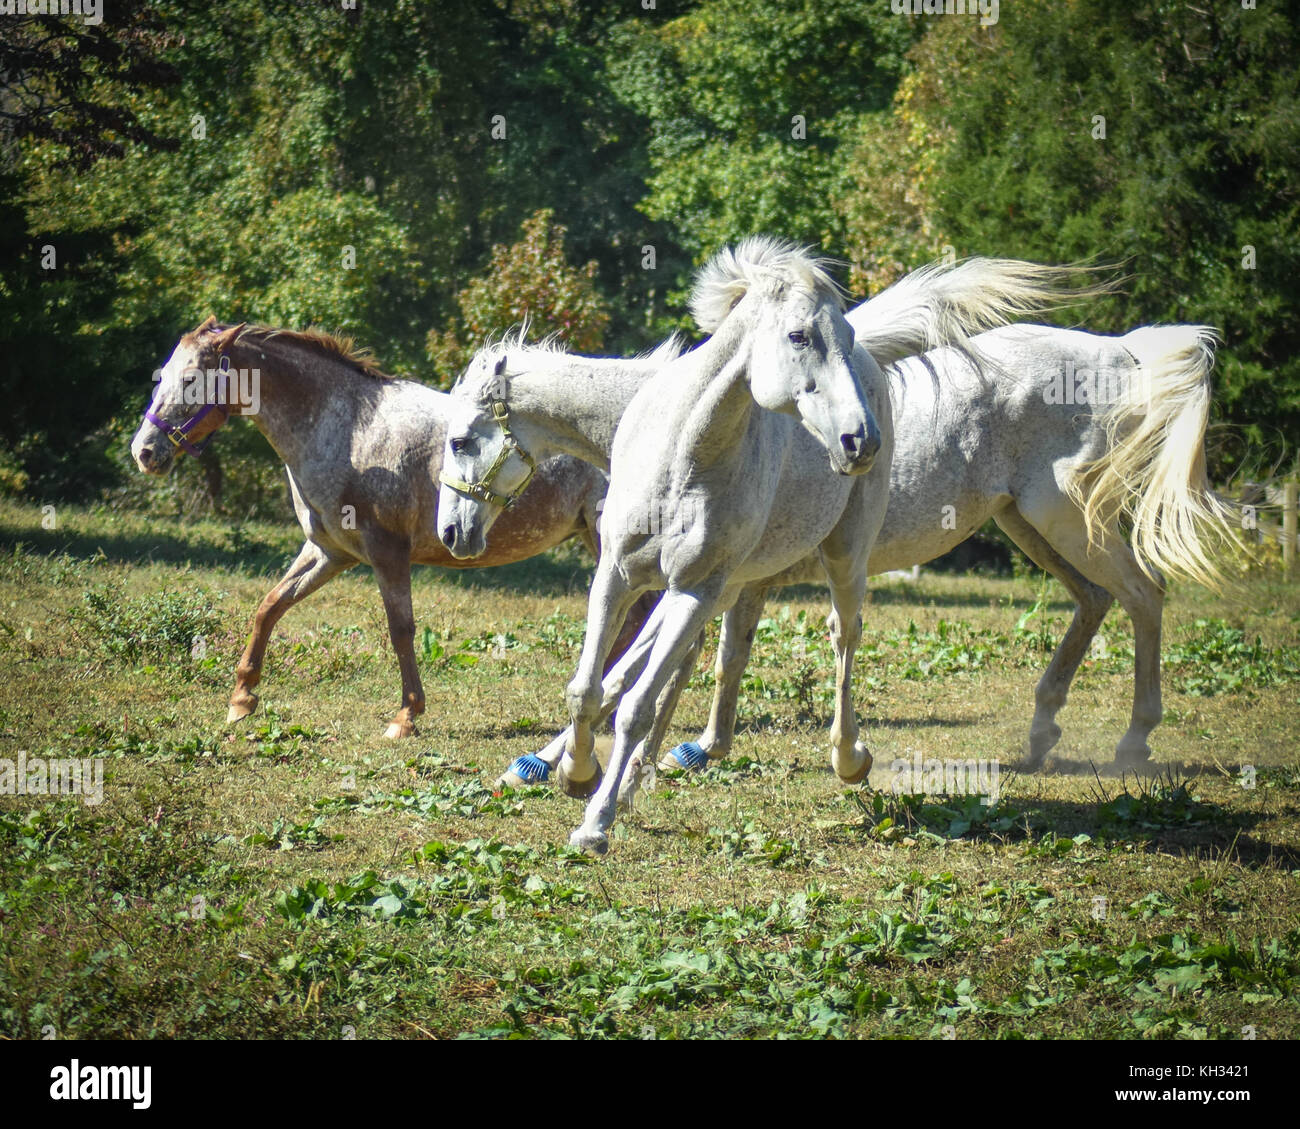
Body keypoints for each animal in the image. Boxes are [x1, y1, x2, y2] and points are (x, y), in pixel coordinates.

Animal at [131, 319, 650, 738]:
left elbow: (400, 629)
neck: (349, 433)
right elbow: (269, 607)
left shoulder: (387, 553)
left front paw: (406, 715)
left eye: (191, 378)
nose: (144, 451)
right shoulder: (329, 553)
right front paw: (242, 699)